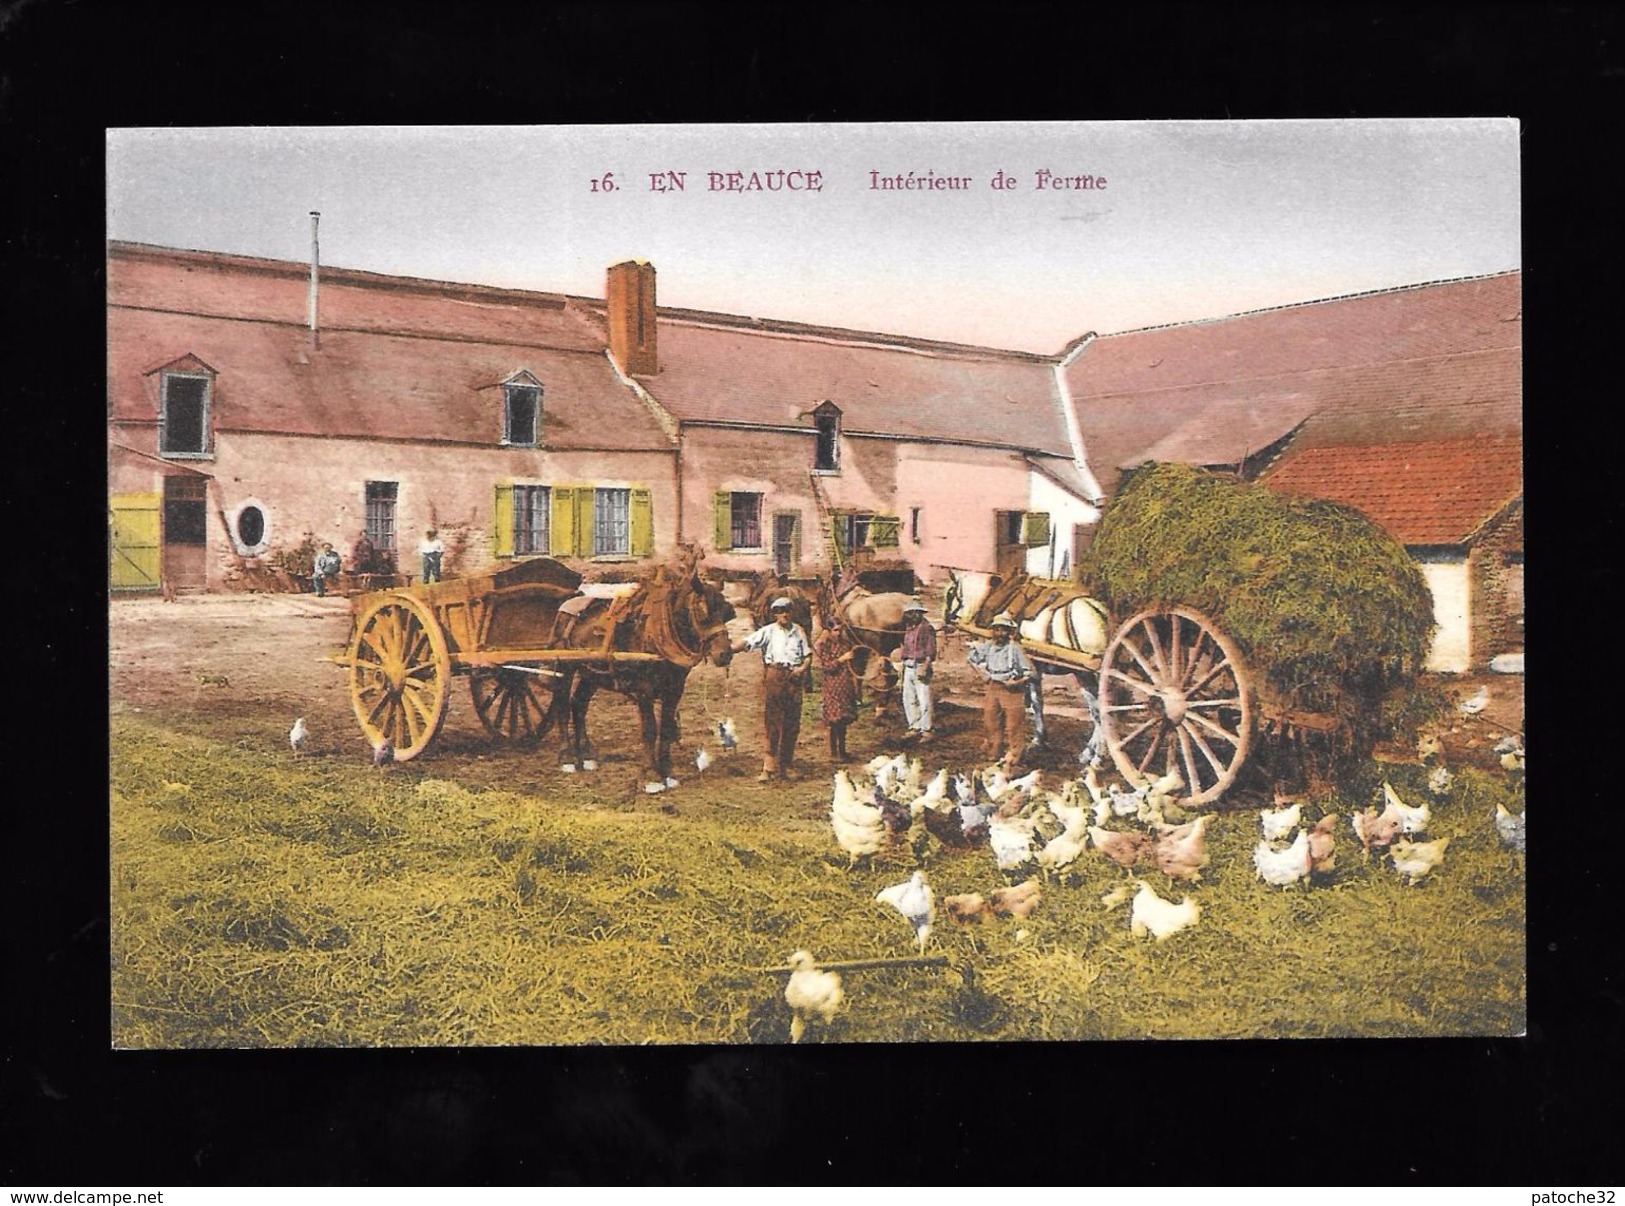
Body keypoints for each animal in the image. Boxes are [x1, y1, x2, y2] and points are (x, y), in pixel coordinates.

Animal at [546, 549, 737, 793]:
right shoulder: (644, 690)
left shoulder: (675, 689)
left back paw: (586, 756)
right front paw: (652, 777)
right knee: (562, 705)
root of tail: (566, 606)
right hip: (566, 667)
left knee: (579, 704)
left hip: (592, 674)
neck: (659, 630)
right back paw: (568, 758)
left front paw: (667, 773)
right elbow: (650, 729)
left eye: (726, 612)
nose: (725, 654)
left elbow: (665, 729)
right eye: (702, 611)